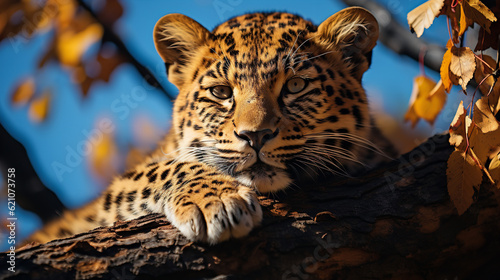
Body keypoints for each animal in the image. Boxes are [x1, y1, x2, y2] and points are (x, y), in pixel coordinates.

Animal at [28, 7, 394, 245]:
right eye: (221, 92)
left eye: (295, 86)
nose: (255, 136)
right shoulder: (112, 197)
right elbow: (169, 166)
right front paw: (217, 201)